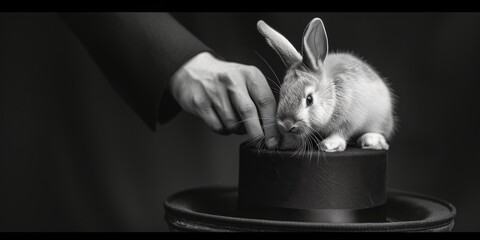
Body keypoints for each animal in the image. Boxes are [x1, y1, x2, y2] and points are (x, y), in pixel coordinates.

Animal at [256, 18, 396, 152]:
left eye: (309, 99)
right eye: (282, 93)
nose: (287, 125)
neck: (333, 92)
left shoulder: (351, 117)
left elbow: (341, 131)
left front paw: (330, 145)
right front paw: (288, 144)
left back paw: (370, 140)